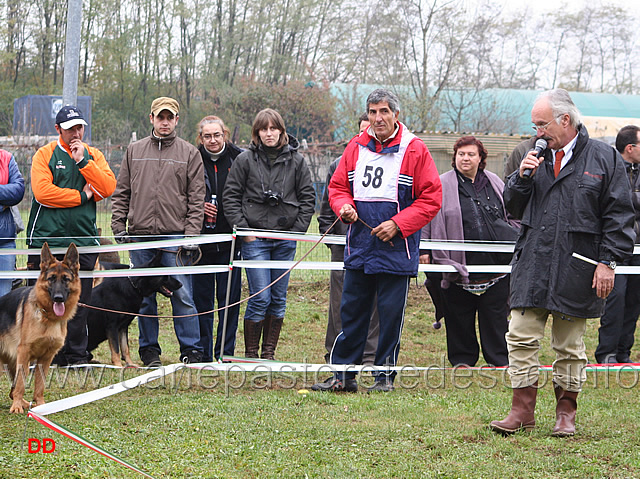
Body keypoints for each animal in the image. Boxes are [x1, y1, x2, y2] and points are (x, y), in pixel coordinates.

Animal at [0, 246, 82, 414]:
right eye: (51, 278)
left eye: (66, 279)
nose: (58, 298)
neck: (48, 317)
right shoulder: (24, 353)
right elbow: (21, 384)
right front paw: (16, 407)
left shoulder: (46, 358)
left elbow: (40, 384)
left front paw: (40, 405)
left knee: (12, 390)